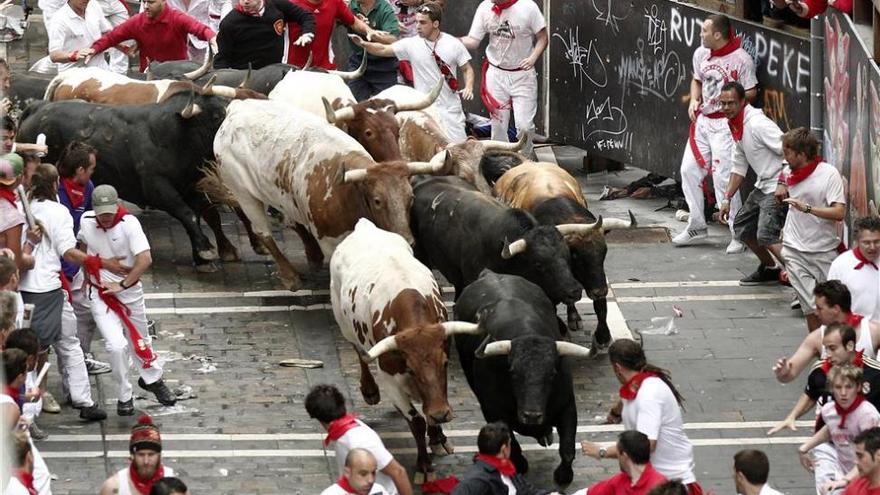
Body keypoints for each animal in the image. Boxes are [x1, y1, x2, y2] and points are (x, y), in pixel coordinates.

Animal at [17, 92, 262, 268]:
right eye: (216, 116)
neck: (174, 137)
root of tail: (38, 107)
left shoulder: (191, 187)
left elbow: (201, 214)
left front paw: (202, 255)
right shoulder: (157, 188)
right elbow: (187, 213)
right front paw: (205, 250)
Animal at [211, 99, 446, 288]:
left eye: (410, 198)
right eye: (377, 200)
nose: (407, 239)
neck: (349, 193)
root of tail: (236, 107)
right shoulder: (330, 241)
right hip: (243, 192)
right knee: (263, 232)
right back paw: (290, 276)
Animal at [450, 270, 588, 486]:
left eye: (552, 374)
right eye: (513, 372)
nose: (532, 415)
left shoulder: (567, 406)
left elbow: (567, 448)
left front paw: (563, 475)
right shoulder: (492, 411)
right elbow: (512, 444)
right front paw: (520, 463)